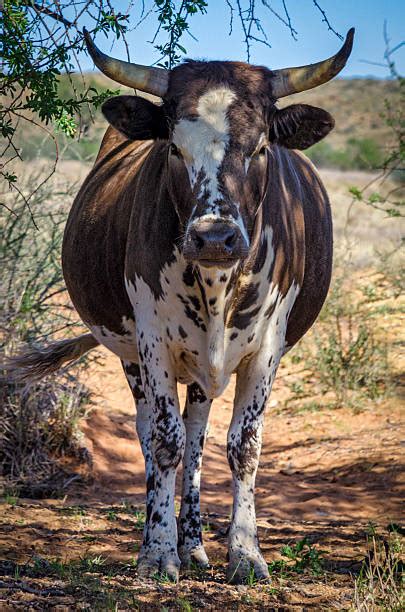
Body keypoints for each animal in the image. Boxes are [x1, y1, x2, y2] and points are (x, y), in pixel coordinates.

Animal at [11, 28, 352, 584]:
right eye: (174, 146)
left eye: (261, 147)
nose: (214, 237)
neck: (215, 284)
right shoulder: (152, 339)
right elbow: (164, 440)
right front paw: (158, 552)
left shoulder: (267, 347)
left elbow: (243, 446)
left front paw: (245, 553)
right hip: (133, 353)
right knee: (153, 434)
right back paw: (164, 539)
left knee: (197, 439)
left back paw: (194, 545)